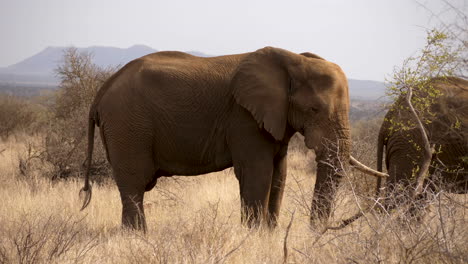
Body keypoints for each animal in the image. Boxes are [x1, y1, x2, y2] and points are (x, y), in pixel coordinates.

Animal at [79, 46, 384, 230]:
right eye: (313, 110)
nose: (315, 233)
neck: (293, 59)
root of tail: (102, 90)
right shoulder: (243, 118)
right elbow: (258, 173)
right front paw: (255, 235)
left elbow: (279, 174)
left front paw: (269, 235)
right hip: (128, 125)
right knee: (134, 183)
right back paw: (137, 236)